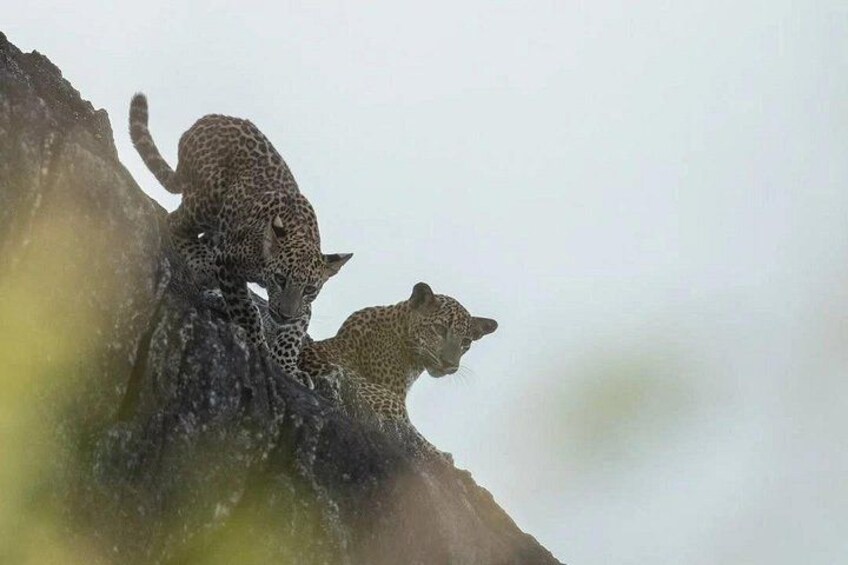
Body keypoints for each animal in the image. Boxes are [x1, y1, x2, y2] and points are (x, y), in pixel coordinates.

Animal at [129, 94, 352, 373]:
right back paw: (201, 263)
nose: (284, 314)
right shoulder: (229, 265)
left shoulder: (305, 306)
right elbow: (246, 309)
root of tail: (204, 120)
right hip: (208, 196)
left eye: (310, 288)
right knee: (174, 222)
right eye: (280, 279)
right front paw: (259, 344)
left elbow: (292, 337)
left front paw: (288, 367)